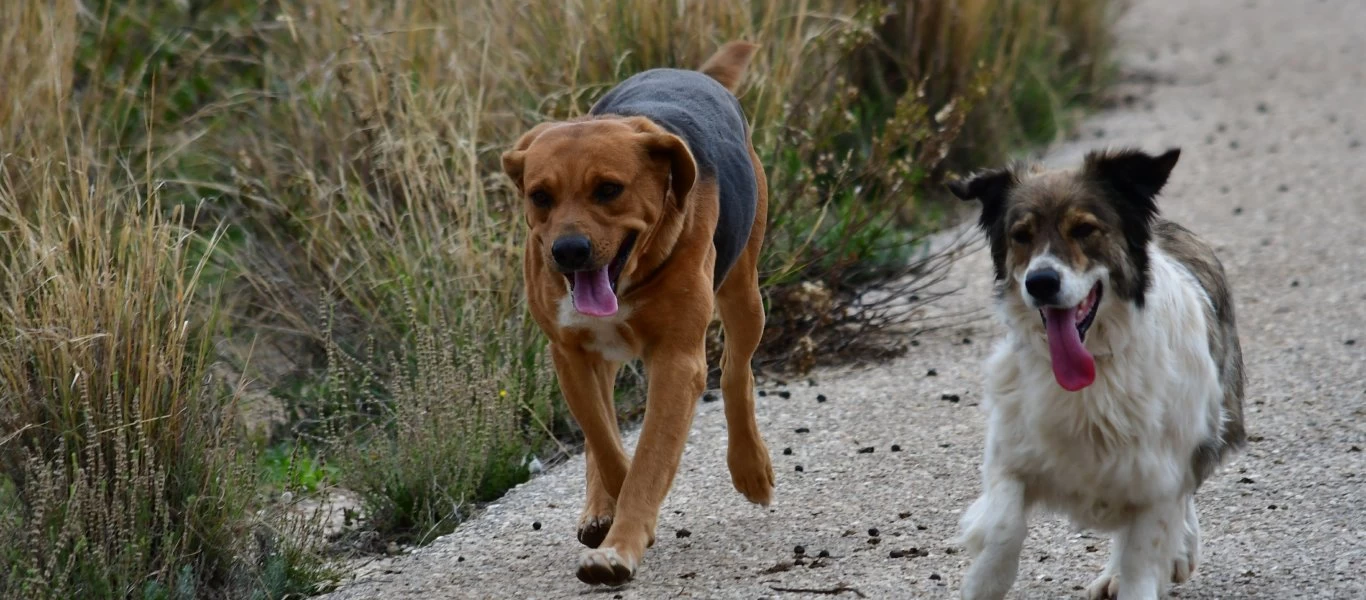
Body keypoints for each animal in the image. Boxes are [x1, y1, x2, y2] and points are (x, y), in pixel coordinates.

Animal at [505, 39, 781, 584]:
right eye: (540, 196)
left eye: (609, 189)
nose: (568, 251)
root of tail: (693, 74)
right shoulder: (571, 354)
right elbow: (608, 444)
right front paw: (614, 514)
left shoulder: (677, 360)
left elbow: (648, 457)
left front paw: (622, 544)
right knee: (604, 429)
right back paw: (599, 508)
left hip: (744, 295)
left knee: (736, 372)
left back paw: (750, 466)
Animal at [950, 146, 1251, 600]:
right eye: (1021, 235)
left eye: (1084, 229)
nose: (1041, 282)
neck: (1095, 366)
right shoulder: (1011, 450)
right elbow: (1003, 524)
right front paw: (985, 580)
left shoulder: (1159, 472)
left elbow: (1144, 553)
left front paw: (1151, 566)